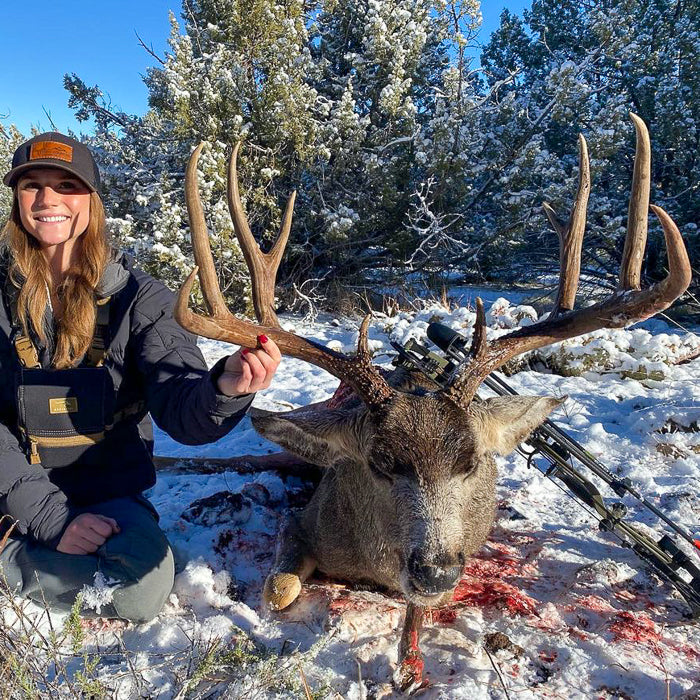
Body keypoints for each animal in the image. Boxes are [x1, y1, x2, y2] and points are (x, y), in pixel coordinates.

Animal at [173, 114, 691, 692]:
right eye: (379, 463)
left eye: (471, 463)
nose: (436, 567)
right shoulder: (305, 520)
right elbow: (278, 588)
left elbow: (414, 626)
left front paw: (408, 660)